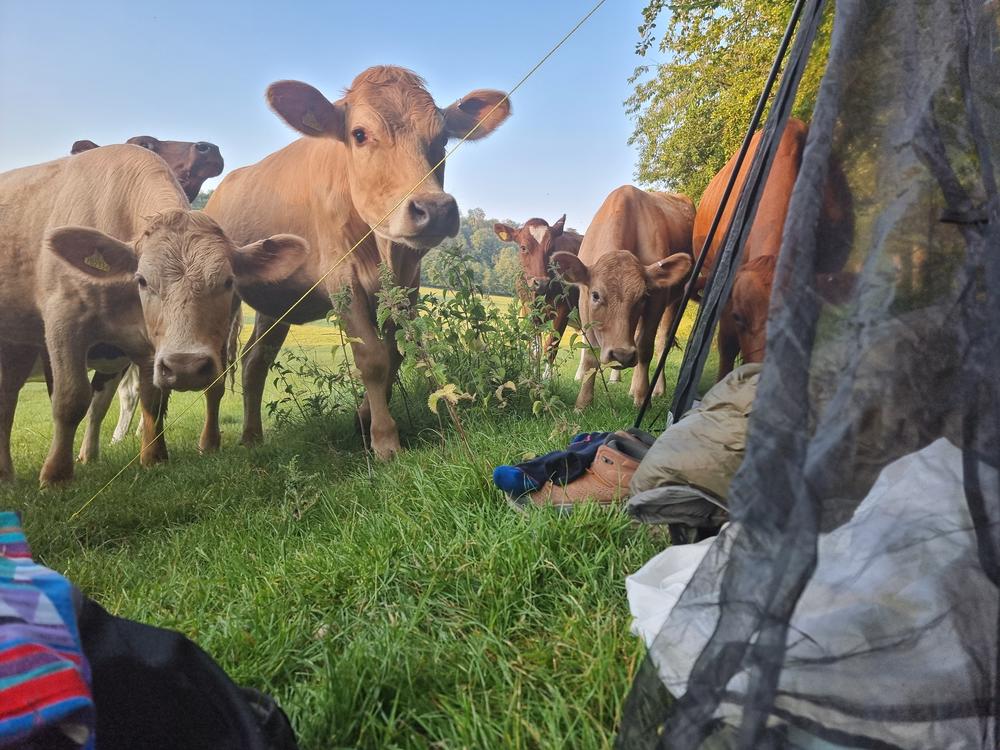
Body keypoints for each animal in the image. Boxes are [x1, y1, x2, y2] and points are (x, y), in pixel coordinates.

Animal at [0, 144, 307, 485]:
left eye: (228, 281)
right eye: (142, 280)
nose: (186, 366)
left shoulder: (150, 345)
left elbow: (153, 398)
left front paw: (154, 458)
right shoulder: (63, 321)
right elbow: (70, 399)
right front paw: (56, 475)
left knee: (8, 395)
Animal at [205, 66, 511, 460]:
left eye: (443, 138)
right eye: (360, 134)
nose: (435, 209)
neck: (383, 250)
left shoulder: (407, 286)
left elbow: (395, 354)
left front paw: (363, 420)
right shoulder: (343, 279)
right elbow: (373, 359)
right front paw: (385, 440)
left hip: (276, 304)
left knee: (255, 359)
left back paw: (252, 435)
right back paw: (210, 442)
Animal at [493, 215, 584, 379]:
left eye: (552, 248)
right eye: (523, 247)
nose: (541, 282)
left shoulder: (564, 309)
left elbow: (551, 346)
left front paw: (547, 381)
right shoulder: (528, 310)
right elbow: (535, 349)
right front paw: (534, 379)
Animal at [550, 185, 694, 411]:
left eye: (643, 296)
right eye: (596, 295)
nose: (622, 355)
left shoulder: (658, 298)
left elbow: (645, 347)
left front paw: (643, 398)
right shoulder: (583, 300)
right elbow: (590, 354)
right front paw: (583, 402)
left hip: (676, 301)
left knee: (661, 342)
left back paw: (653, 389)